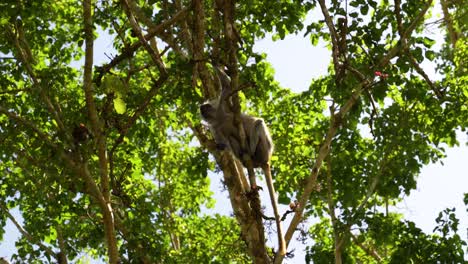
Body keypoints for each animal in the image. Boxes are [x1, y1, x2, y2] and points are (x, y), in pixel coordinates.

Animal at [199, 65, 288, 256]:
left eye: (205, 107)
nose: (202, 110)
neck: (218, 118)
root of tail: (264, 161)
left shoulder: (223, 105)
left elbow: (226, 85)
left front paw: (214, 63)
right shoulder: (215, 128)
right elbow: (222, 145)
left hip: (265, 149)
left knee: (258, 124)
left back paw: (251, 148)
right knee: (233, 141)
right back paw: (244, 155)